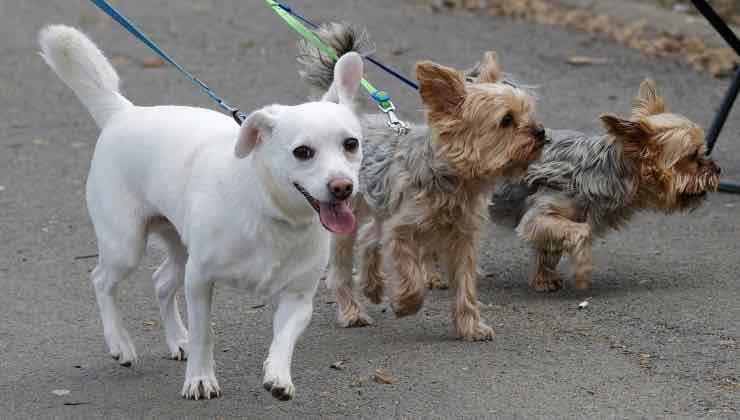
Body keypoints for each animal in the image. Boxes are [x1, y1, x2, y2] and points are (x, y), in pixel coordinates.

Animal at [40, 25, 364, 400]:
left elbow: (284, 340)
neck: (270, 210)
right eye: (302, 152)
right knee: (101, 280)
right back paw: (120, 343)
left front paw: (279, 376)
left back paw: (176, 339)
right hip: (126, 246)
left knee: (161, 281)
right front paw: (199, 379)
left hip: (180, 248)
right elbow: (204, 335)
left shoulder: (297, 298)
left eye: (351, 144)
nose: (342, 187)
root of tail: (123, 113)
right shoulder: (199, 280)